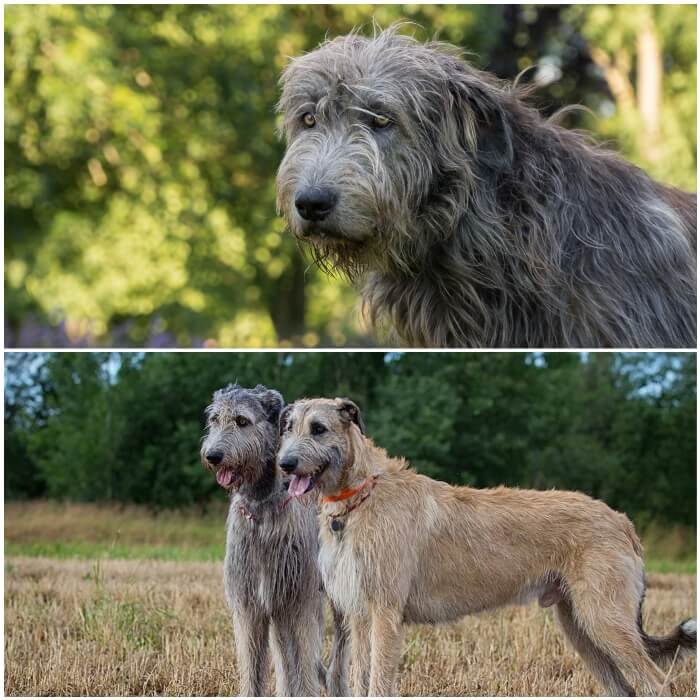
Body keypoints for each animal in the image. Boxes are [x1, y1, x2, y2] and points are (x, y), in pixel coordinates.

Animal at [200, 386, 348, 696]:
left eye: (242, 421)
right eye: (214, 419)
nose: (213, 455)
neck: (260, 509)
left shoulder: (300, 602)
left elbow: (303, 668)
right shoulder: (250, 605)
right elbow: (253, 667)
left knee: (339, 654)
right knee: (284, 658)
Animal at [278, 396, 696, 696]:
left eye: (318, 428)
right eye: (288, 428)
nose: (284, 465)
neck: (360, 495)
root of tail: (622, 521)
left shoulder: (385, 613)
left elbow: (378, 684)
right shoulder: (360, 616)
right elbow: (360, 679)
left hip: (604, 620)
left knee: (659, 682)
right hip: (581, 628)